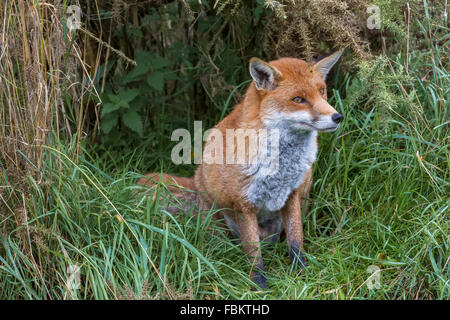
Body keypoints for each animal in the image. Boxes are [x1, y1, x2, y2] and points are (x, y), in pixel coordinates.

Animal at [137, 50, 344, 290]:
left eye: (322, 92)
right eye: (298, 100)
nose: (337, 117)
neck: (281, 166)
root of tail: (195, 184)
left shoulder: (292, 196)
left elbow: (296, 242)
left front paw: (302, 274)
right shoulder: (244, 205)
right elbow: (254, 254)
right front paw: (260, 287)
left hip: (303, 202)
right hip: (215, 220)